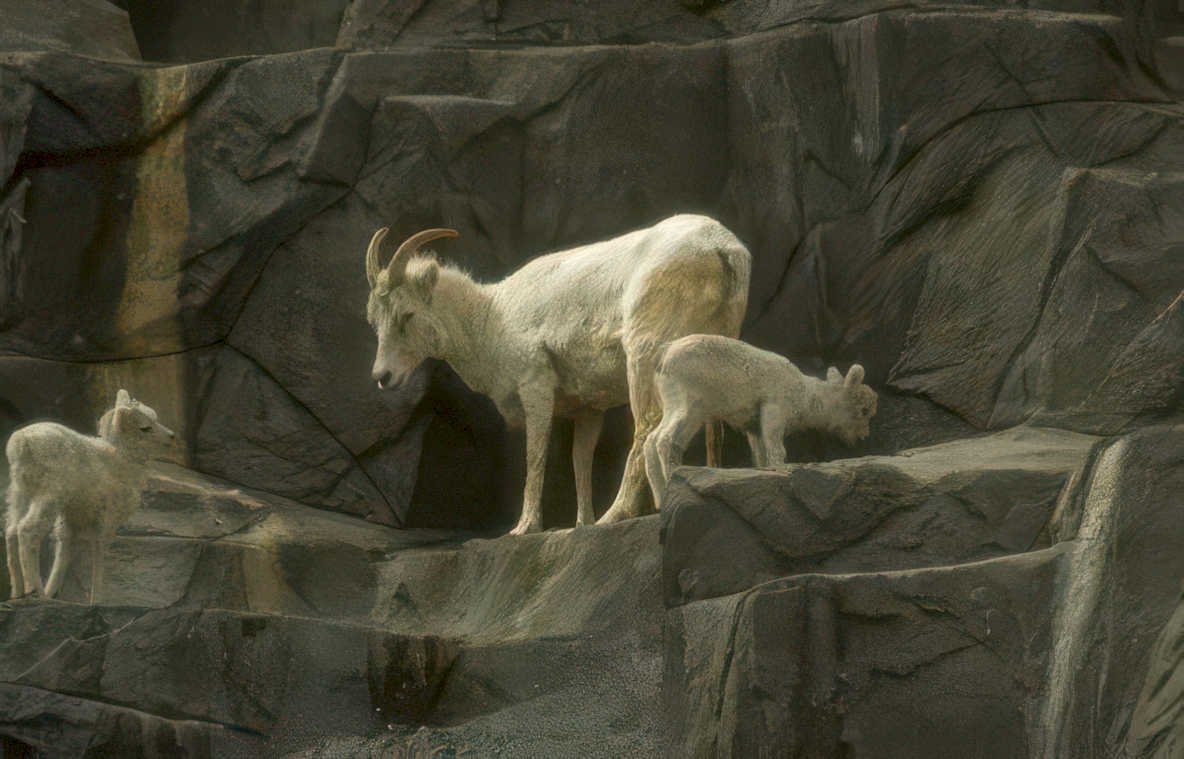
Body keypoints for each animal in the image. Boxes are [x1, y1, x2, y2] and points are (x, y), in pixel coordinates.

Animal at [4, 389, 175, 602]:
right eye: (145, 428)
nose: (172, 436)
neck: (121, 458)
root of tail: (20, 443)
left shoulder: (69, 521)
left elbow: (63, 555)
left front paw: (54, 593)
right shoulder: (106, 519)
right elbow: (98, 556)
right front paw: (97, 601)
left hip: (20, 492)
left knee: (11, 531)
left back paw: (18, 592)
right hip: (50, 494)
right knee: (28, 530)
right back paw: (36, 591)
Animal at [365, 214, 751, 534]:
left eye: (406, 315)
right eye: (375, 319)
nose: (382, 376)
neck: (491, 319)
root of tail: (721, 249)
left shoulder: (535, 386)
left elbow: (536, 455)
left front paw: (524, 528)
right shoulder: (589, 411)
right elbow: (580, 461)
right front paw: (580, 524)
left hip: (645, 355)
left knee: (646, 429)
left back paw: (616, 515)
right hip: (713, 346)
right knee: (711, 426)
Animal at [644, 334, 878, 507]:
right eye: (864, 410)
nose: (863, 437)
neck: (805, 396)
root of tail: (663, 354)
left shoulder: (754, 427)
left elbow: (760, 456)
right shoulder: (774, 413)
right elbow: (777, 452)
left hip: (685, 411)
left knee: (651, 442)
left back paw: (660, 500)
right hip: (686, 405)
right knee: (663, 439)